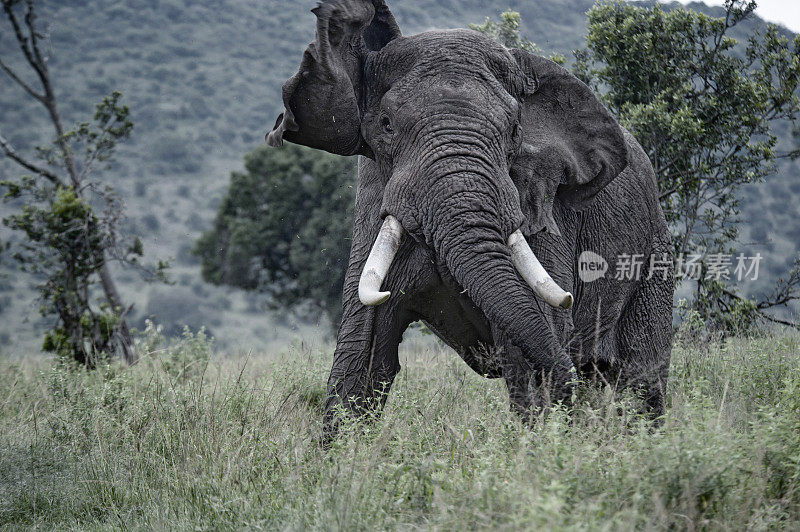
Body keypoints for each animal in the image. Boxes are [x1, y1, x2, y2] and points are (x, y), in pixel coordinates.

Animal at [266, 0, 672, 436]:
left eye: (515, 132)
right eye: (386, 125)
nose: (568, 382)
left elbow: (530, 337)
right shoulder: (374, 197)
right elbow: (363, 348)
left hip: (655, 254)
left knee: (642, 380)